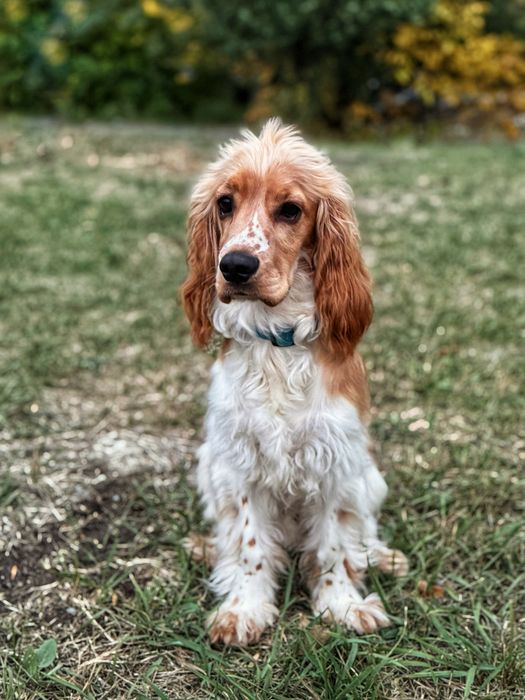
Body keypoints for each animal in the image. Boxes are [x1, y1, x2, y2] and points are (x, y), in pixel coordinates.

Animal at [181, 119, 408, 646]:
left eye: (290, 210)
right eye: (225, 203)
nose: (235, 266)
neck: (276, 344)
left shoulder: (337, 463)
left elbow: (334, 545)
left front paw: (343, 606)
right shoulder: (239, 462)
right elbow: (248, 544)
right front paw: (244, 609)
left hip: (372, 478)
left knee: (364, 532)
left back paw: (384, 556)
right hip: (207, 465)